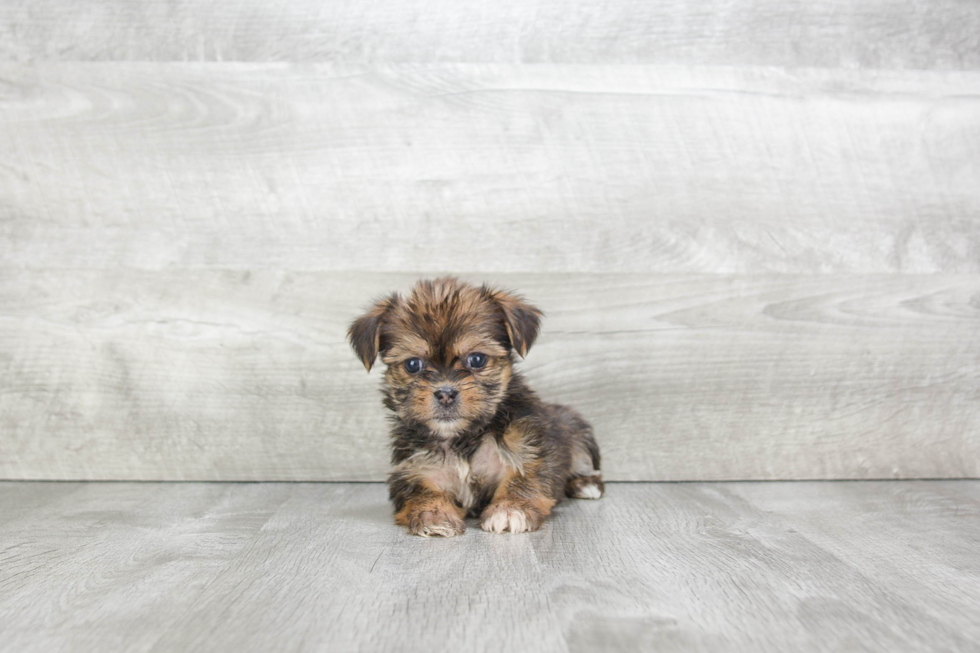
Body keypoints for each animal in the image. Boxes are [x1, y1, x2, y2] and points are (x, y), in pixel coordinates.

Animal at [348, 276, 600, 536]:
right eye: (412, 364)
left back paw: (584, 485)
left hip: (577, 433)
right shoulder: (416, 467)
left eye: (477, 359)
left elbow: (525, 475)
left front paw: (510, 509)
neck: (462, 438)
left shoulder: (528, 446)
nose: (445, 393)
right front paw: (433, 514)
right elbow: (422, 490)